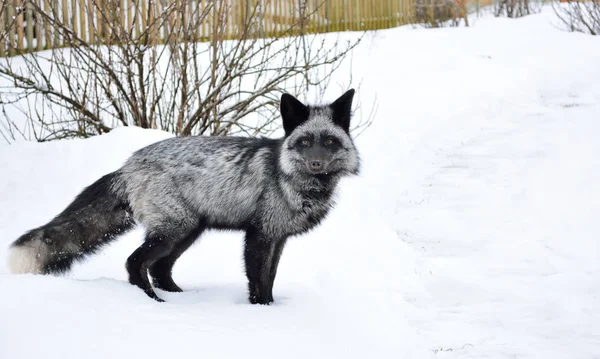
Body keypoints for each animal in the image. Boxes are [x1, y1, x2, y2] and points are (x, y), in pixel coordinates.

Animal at [9, 89, 358, 304]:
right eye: (304, 142)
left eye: (329, 141)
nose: (316, 164)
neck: (296, 184)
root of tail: (128, 165)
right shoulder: (259, 236)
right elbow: (258, 282)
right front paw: (262, 312)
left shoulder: (278, 238)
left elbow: (269, 279)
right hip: (174, 229)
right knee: (135, 263)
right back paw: (153, 302)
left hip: (188, 231)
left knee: (160, 269)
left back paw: (181, 298)